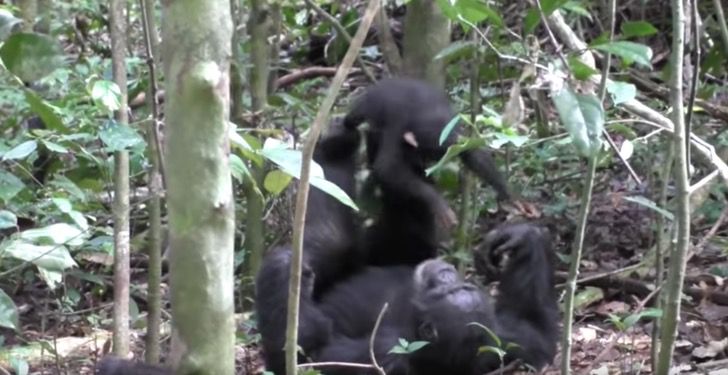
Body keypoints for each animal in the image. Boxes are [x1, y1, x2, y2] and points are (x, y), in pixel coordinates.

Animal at [312, 222, 556, 374]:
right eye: (461, 288)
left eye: (451, 292)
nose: (446, 276)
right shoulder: (503, 341)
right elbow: (539, 338)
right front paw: (521, 236)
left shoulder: (386, 352)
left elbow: (320, 356)